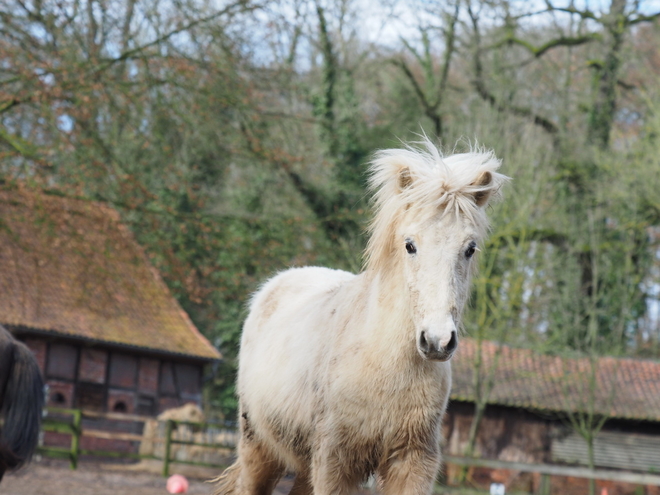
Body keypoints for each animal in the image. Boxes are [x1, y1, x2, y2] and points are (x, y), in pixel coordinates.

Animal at [214, 139, 508, 495]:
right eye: (410, 245)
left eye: (470, 248)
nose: (437, 341)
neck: (382, 362)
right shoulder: (335, 462)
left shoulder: (412, 463)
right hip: (258, 448)